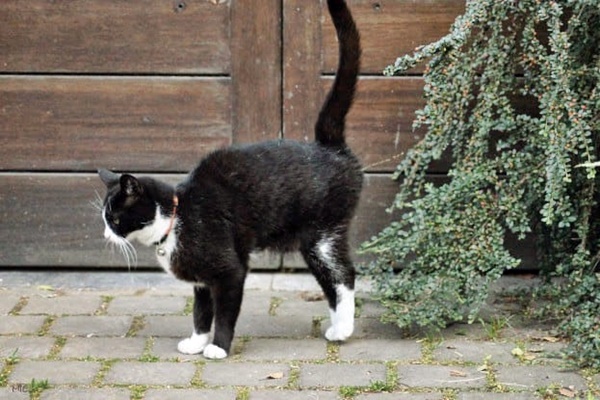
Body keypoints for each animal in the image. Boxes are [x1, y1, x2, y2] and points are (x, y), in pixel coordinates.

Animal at [98, 0, 360, 360]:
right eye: (105, 218)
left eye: (114, 218)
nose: (105, 234)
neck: (177, 218)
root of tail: (328, 148)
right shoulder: (201, 280)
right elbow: (200, 311)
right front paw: (196, 342)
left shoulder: (230, 271)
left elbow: (224, 312)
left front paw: (217, 347)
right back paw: (336, 328)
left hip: (322, 235)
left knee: (343, 275)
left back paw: (344, 329)